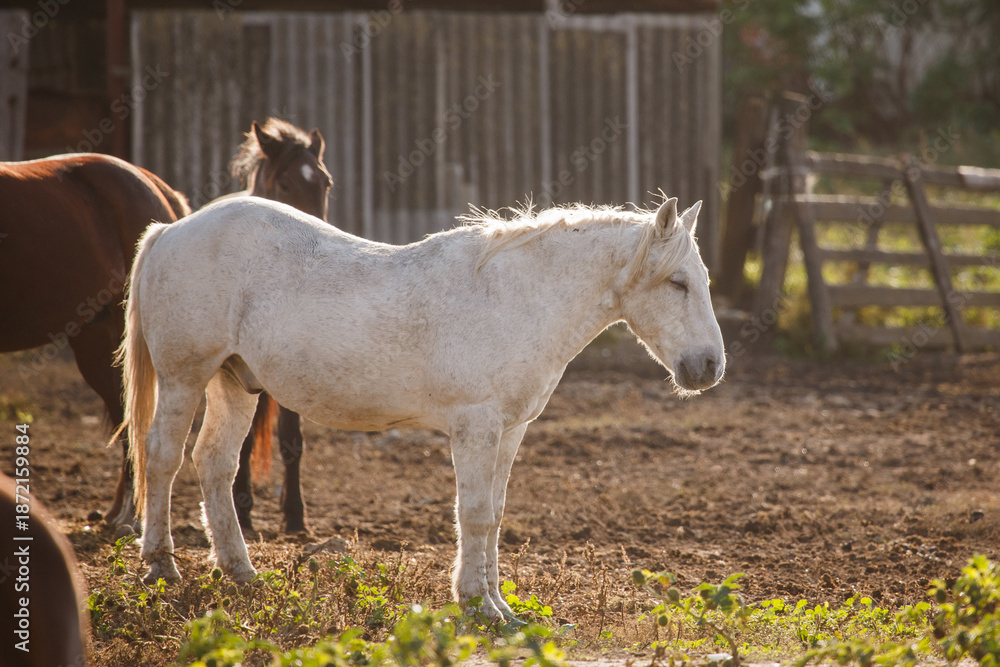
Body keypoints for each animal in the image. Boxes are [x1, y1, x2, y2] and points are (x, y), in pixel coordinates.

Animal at [116, 194, 724, 623]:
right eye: (677, 282)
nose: (709, 367)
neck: (514, 299)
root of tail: (171, 230)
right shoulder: (476, 427)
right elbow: (474, 514)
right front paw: (478, 606)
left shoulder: (509, 432)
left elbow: (494, 515)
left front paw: (499, 605)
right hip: (184, 378)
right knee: (163, 458)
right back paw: (161, 566)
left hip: (235, 382)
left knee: (215, 466)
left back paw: (241, 574)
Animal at [224, 118, 332, 534]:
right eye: (283, 183)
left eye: (325, 182)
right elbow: (245, 442)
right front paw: (243, 512)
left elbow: (291, 440)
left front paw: (296, 515)